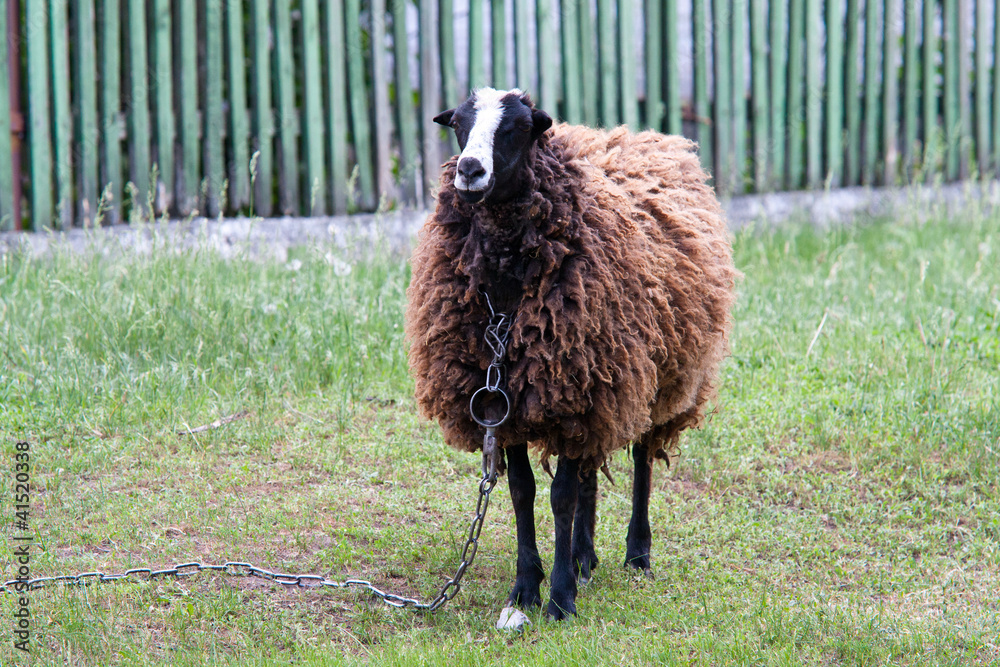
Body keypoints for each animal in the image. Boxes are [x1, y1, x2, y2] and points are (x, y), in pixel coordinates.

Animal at [404, 88, 737, 621]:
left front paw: (559, 599)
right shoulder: (507, 400)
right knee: (588, 473)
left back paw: (635, 554)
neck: (507, 296)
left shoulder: (568, 394)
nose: (470, 170)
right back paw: (584, 557)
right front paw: (527, 586)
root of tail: (637, 138)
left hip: (648, 380)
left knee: (640, 459)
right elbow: (523, 492)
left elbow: (560, 497)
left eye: (519, 127)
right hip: (599, 386)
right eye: (458, 124)